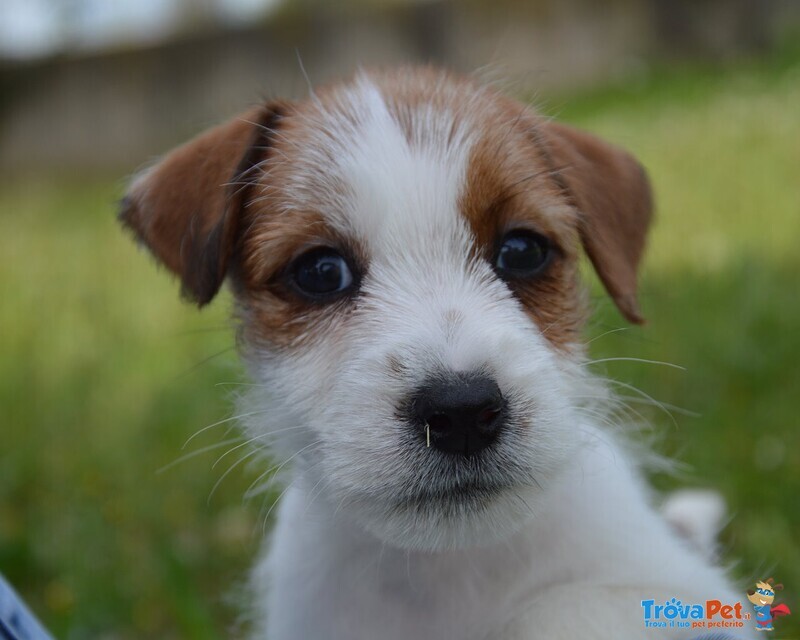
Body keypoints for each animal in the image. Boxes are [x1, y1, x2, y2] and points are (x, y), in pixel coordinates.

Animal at [119, 67, 752, 636]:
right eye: (320, 272)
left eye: (522, 250)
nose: (463, 411)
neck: (450, 567)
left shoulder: (665, 592)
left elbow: (564, 608)